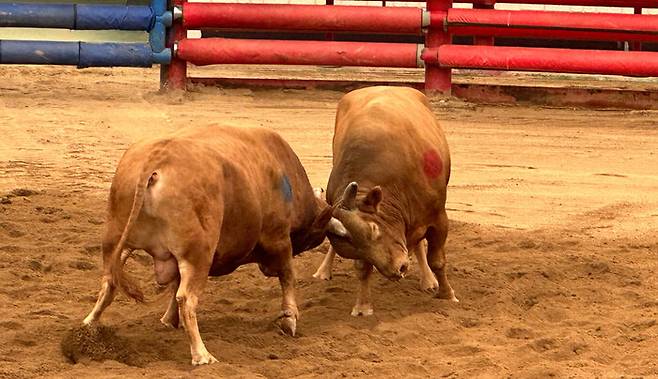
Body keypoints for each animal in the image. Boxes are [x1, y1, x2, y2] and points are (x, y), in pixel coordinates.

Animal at [82, 124, 338, 366]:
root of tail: (155, 159)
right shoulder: (279, 239)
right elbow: (287, 276)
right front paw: (289, 318)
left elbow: (173, 286)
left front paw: (168, 320)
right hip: (198, 255)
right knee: (186, 299)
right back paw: (201, 354)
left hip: (117, 242)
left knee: (109, 283)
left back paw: (89, 324)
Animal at [312, 87, 456, 318]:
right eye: (355, 249)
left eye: (373, 228)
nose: (399, 269)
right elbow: (362, 268)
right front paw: (363, 306)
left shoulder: (438, 217)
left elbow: (437, 259)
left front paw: (447, 294)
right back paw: (323, 271)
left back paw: (428, 280)